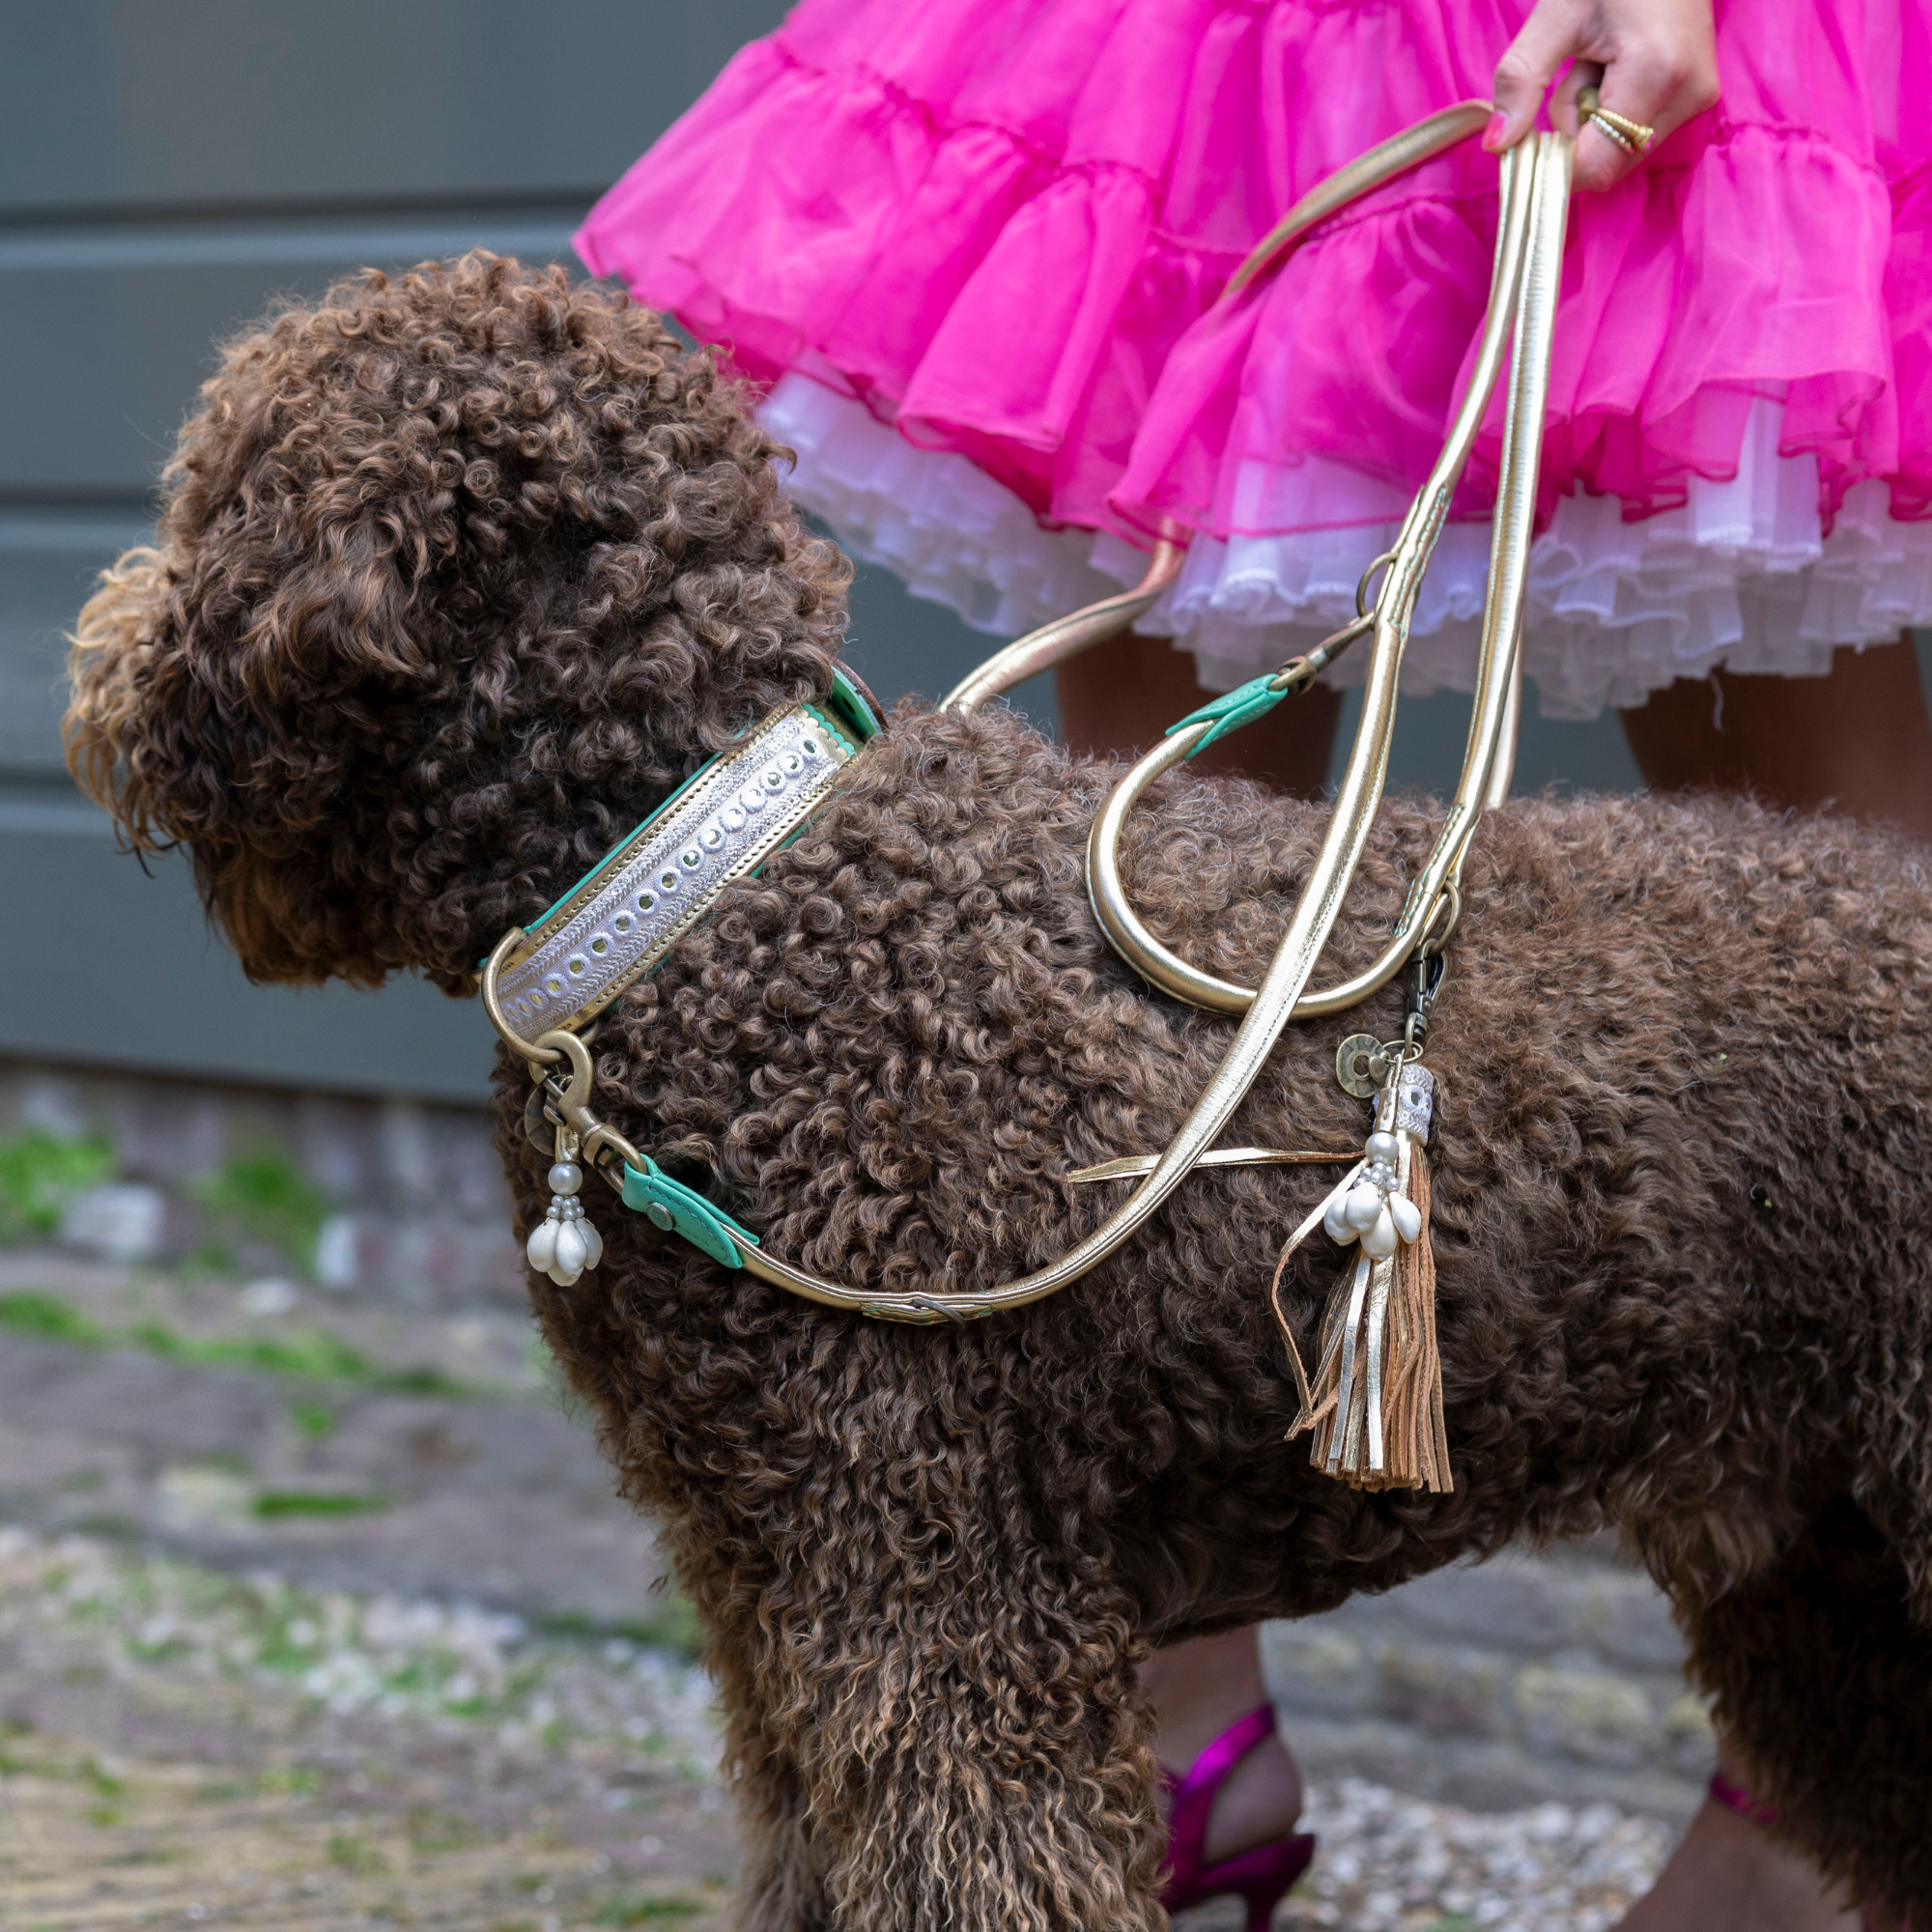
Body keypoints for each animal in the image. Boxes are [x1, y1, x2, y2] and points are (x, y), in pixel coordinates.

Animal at [65, 253, 1932, 1926]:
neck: (720, 877)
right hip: (1821, 1564)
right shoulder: (768, 1587)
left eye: (213, 487)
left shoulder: (929, 1582)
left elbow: (972, 1871)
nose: (97, 655)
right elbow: (808, 1871)